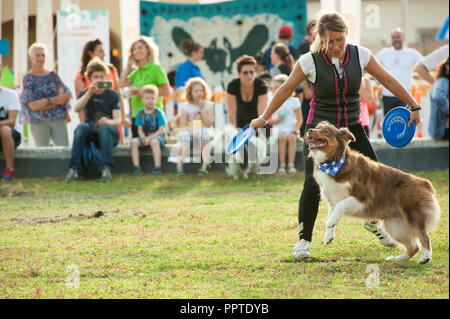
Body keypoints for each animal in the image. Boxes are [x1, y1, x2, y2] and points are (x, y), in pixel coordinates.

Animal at [306, 121, 440, 264]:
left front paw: (330, 225)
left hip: (413, 214)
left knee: (424, 236)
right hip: (395, 225)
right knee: (413, 247)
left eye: (325, 131)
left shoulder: (362, 196)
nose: (309, 130)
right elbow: (331, 216)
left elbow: (339, 208)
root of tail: (425, 183)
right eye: (317, 127)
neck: (334, 162)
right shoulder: (333, 200)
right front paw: (328, 236)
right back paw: (396, 259)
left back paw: (425, 257)